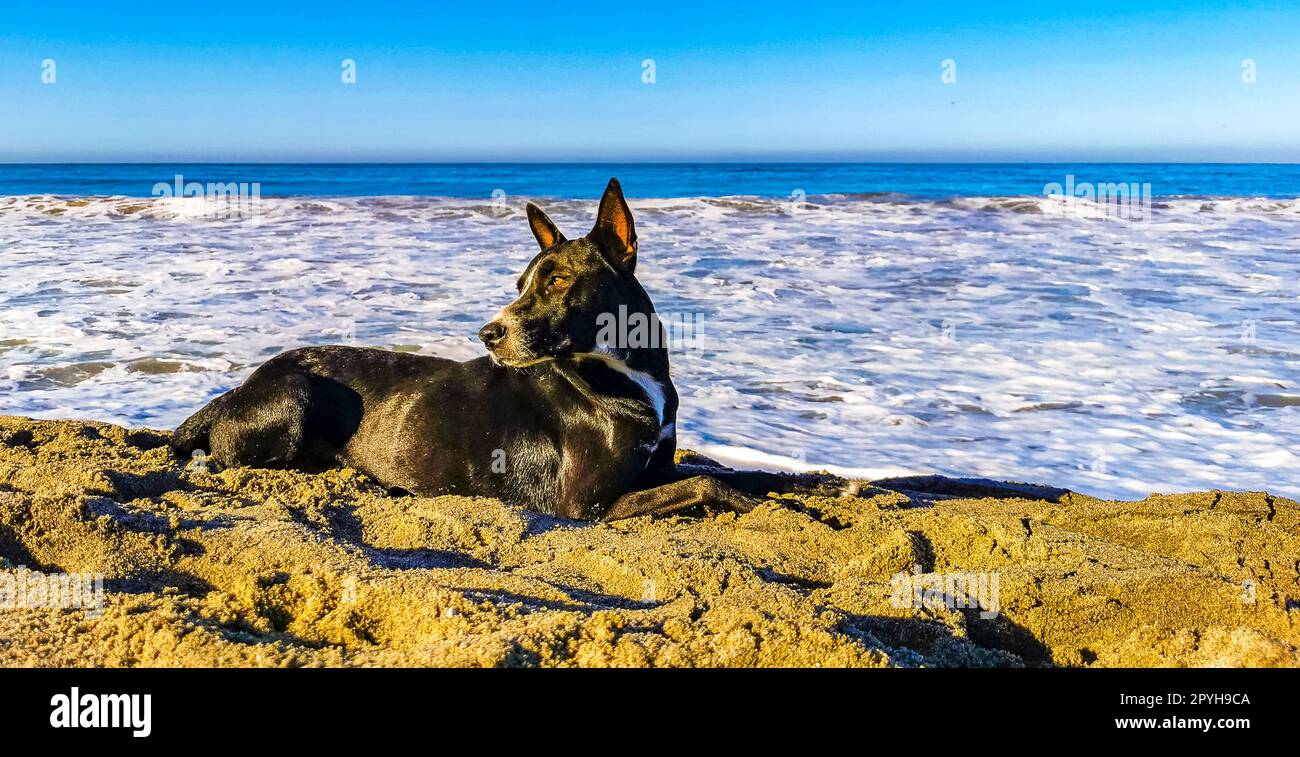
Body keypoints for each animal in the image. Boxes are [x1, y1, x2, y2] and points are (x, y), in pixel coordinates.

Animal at [169, 178, 764, 522]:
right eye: (522, 283)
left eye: (557, 281)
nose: (487, 334)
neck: (621, 372)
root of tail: (236, 389)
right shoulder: (586, 505)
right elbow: (709, 482)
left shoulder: (656, 467)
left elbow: (739, 474)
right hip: (294, 393)